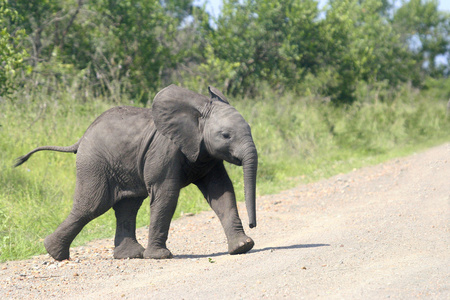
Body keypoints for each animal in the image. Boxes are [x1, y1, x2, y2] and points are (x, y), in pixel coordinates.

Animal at [15, 85, 258, 260]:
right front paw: (160, 257)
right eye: (225, 135)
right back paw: (54, 253)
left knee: (127, 206)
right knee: (92, 206)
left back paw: (130, 255)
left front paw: (242, 247)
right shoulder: (164, 150)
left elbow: (222, 192)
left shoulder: (206, 153)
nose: (253, 225)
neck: (197, 111)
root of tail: (81, 138)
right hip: (94, 163)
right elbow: (167, 195)